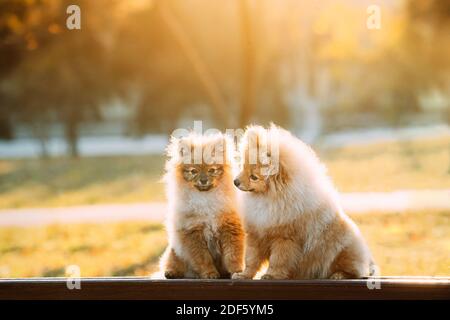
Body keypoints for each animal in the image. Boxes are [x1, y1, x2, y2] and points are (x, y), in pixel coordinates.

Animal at [158, 132, 243, 278]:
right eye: (193, 171)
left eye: (212, 170)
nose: (203, 180)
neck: (205, 198)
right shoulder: (193, 232)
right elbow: (203, 259)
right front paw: (210, 274)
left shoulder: (230, 227)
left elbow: (233, 255)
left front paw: (237, 272)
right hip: (175, 250)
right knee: (172, 261)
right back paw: (171, 272)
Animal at [232, 124, 376, 278]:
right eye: (243, 167)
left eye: (253, 177)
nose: (235, 181)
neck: (269, 199)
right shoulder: (256, 235)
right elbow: (251, 260)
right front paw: (243, 275)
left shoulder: (284, 238)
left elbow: (278, 260)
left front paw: (271, 275)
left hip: (342, 250)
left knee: (352, 270)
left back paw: (338, 275)